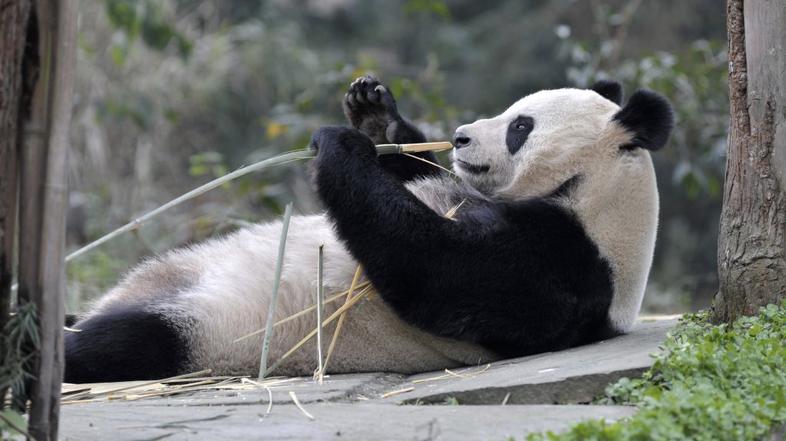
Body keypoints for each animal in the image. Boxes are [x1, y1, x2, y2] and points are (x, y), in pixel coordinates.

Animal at [64, 76, 673, 383]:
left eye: (520, 127)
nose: (460, 137)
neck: (595, 197)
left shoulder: (564, 264)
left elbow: (437, 272)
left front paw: (341, 145)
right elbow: (413, 176)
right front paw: (374, 114)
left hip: (214, 329)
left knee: (124, 342)